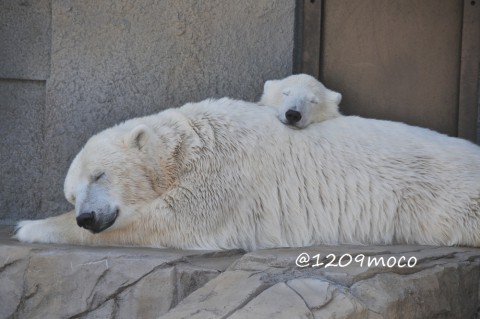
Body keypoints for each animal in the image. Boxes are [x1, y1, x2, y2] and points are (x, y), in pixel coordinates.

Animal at [15, 99, 480, 251]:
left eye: (99, 175)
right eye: (71, 195)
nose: (86, 217)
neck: (191, 141)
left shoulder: (225, 174)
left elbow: (170, 220)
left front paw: (27, 226)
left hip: (450, 199)